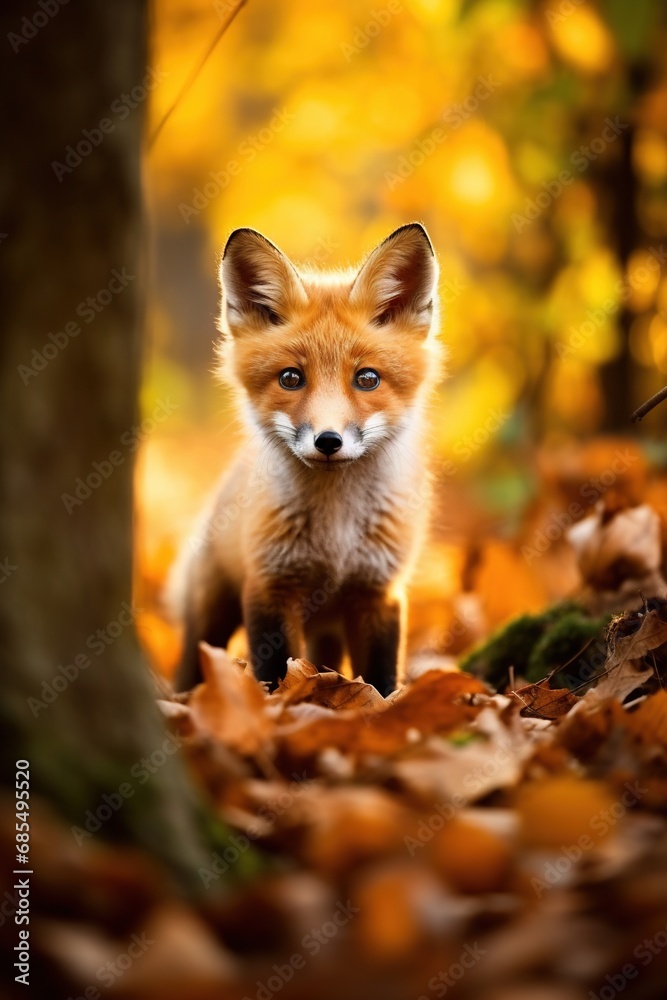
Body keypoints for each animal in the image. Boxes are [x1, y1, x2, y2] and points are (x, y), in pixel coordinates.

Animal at [169, 222, 444, 695]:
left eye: (366, 378)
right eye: (290, 378)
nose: (328, 440)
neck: (335, 535)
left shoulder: (379, 591)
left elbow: (381, 677)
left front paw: (383, 706)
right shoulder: (270, 586)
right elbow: (276, 671)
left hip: (326, 628)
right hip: (213, 612)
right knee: (192, 661)